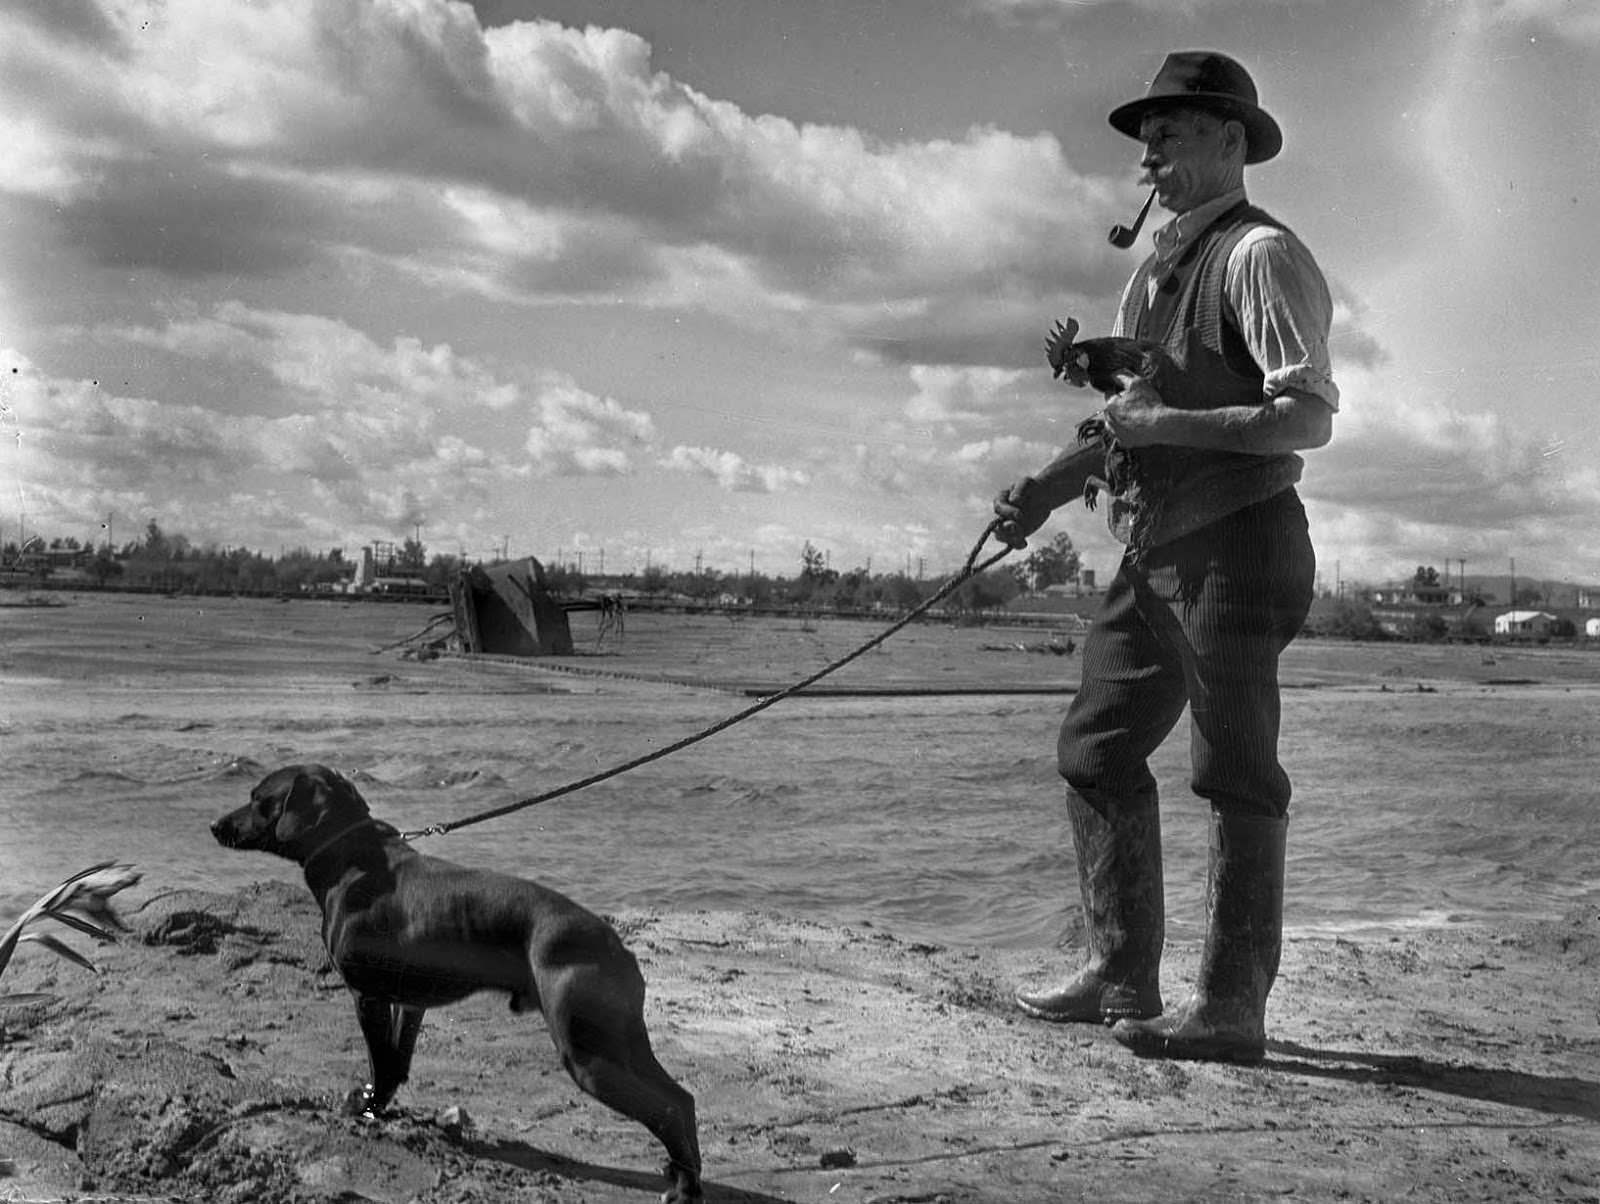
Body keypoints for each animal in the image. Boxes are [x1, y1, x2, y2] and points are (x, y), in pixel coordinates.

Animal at [211, 765, 700, 1197]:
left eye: (259, 798)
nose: (214, 825)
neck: (356, 860)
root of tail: (617, 947)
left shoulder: (368, 996)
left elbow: (380, 1062)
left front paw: (369, 1112)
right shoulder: (409, 1003)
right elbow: (396, 1063)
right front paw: (379, 1103)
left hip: (588, 1057)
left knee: (667, 1109)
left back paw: (683, 1190)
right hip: (621, 1046)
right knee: (682, 1100)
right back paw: (680, 1175)